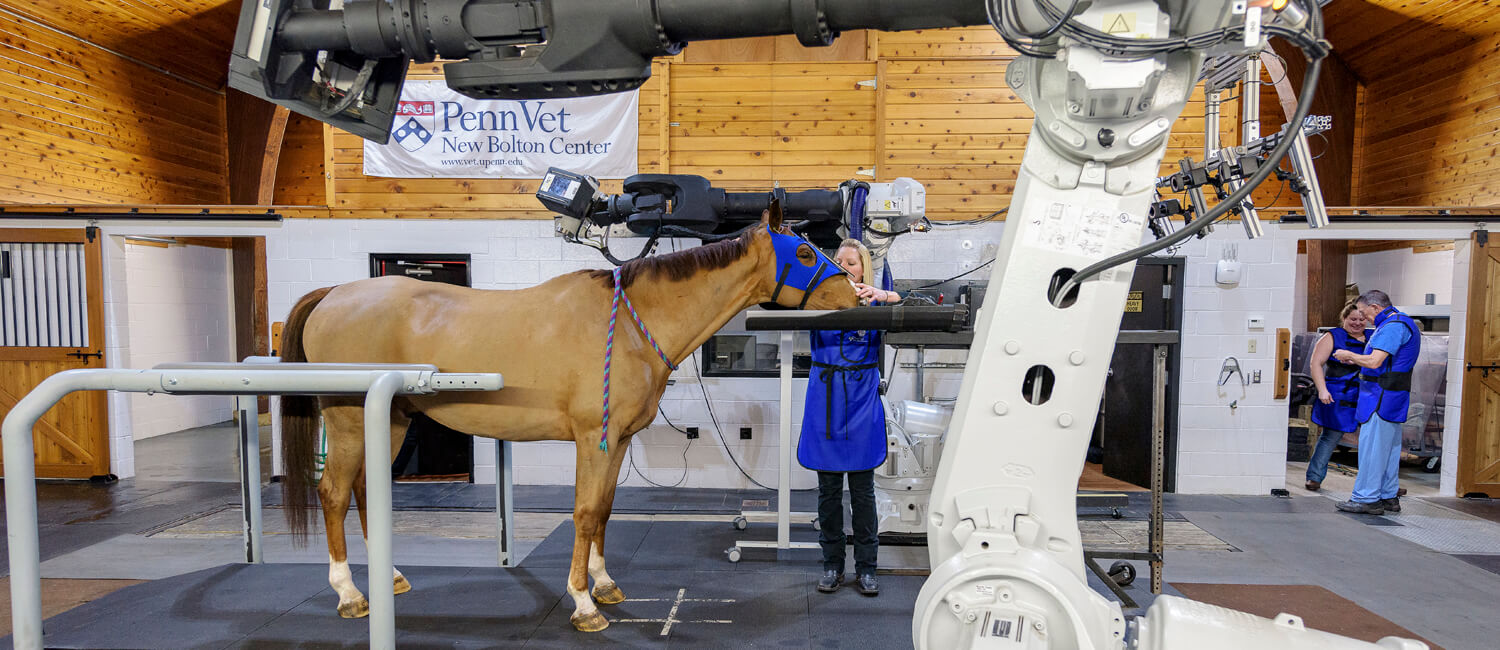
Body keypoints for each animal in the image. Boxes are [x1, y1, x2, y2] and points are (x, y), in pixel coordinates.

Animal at [280, 211, 858, 627]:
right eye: (804, 252)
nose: (855, 292)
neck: (631, 325)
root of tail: (333, 295)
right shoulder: (592, 440)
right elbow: (583, 513)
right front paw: (583, 604)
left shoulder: (617, 441)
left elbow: (603, 511)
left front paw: (604, 585)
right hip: (350, 421)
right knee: (334, 493)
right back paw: (350, 594)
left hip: (391, 420)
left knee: (363, 490)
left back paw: (391, 577)